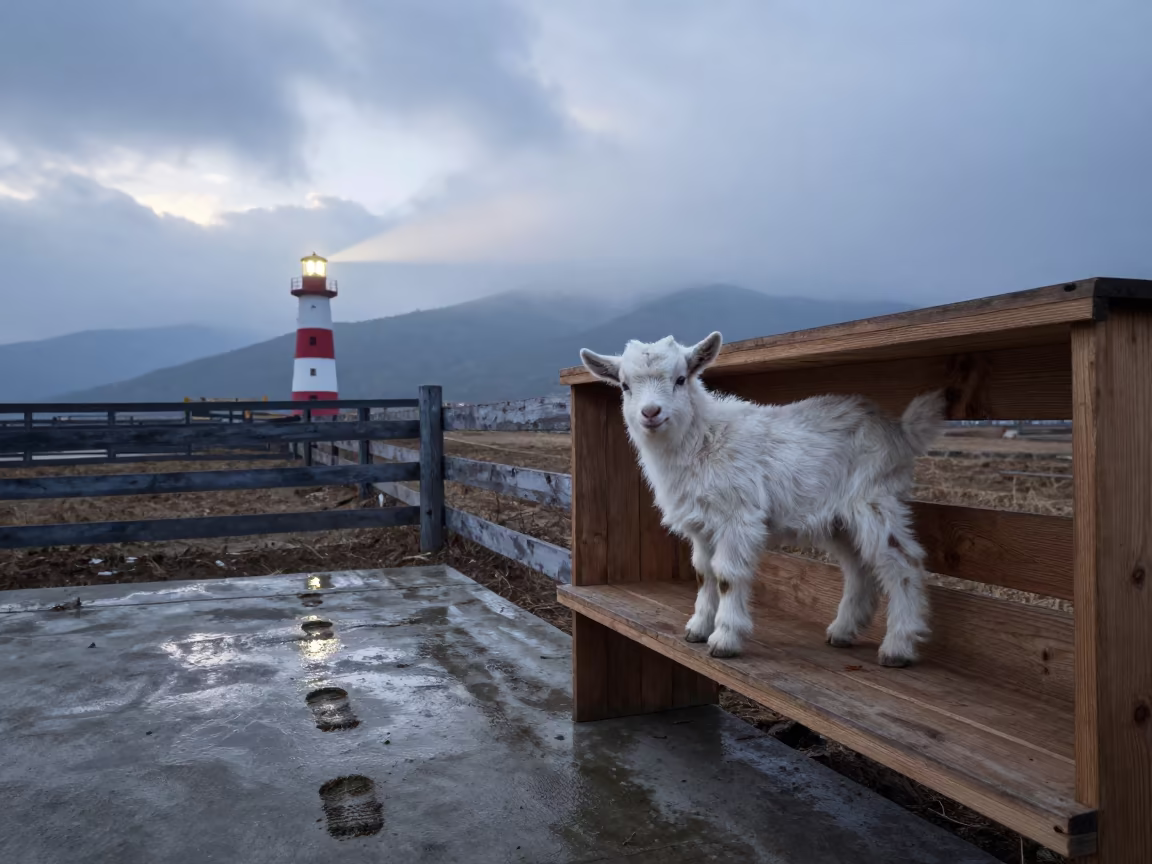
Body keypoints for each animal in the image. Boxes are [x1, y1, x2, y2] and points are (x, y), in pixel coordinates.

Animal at [579, 332, 944, 667]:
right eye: (625, 385)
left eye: (680, 379)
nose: (651, 412)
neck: (703, 439)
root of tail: (898, 431)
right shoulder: (702, 524)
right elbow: (703, 572)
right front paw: (698, 628)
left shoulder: (737, 517)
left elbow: (726, 575)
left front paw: (724, 639)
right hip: (839, 519)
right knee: (859, 568)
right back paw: (843, 631)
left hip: (873, 499)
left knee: (903, 562)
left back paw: (898, 646)